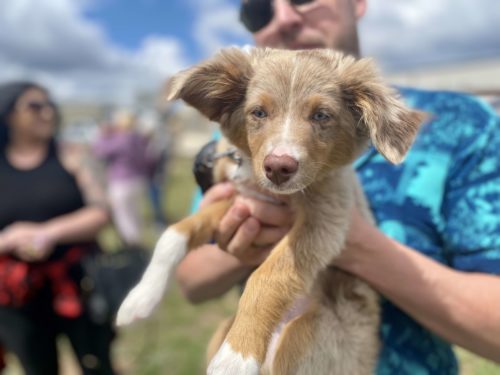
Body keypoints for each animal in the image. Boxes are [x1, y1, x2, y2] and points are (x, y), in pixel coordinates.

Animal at [117, 47, 426, 375]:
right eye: (258, 112)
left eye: (321, 115)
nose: (279, 166)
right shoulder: (243, 198)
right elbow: (174, 234)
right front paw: (141, 297)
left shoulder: (327, 219)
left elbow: (267, 276)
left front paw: (236, 357)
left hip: (309, 342)